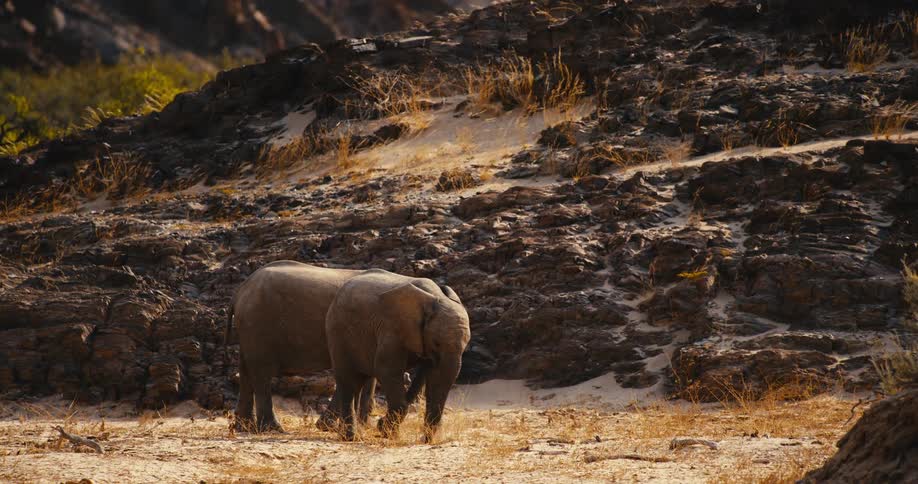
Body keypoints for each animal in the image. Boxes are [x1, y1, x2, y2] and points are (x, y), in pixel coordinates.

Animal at [326, 269, 471, 442]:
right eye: (436, 343)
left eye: (466, 344)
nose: (424, 440)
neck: (435, 298)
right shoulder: (392, 328)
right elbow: (386, 369)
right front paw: (385, 431)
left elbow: (434, 376)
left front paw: (388, 431)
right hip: (338, 332)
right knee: (348, 381)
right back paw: (351, 437)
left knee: (358, 381)